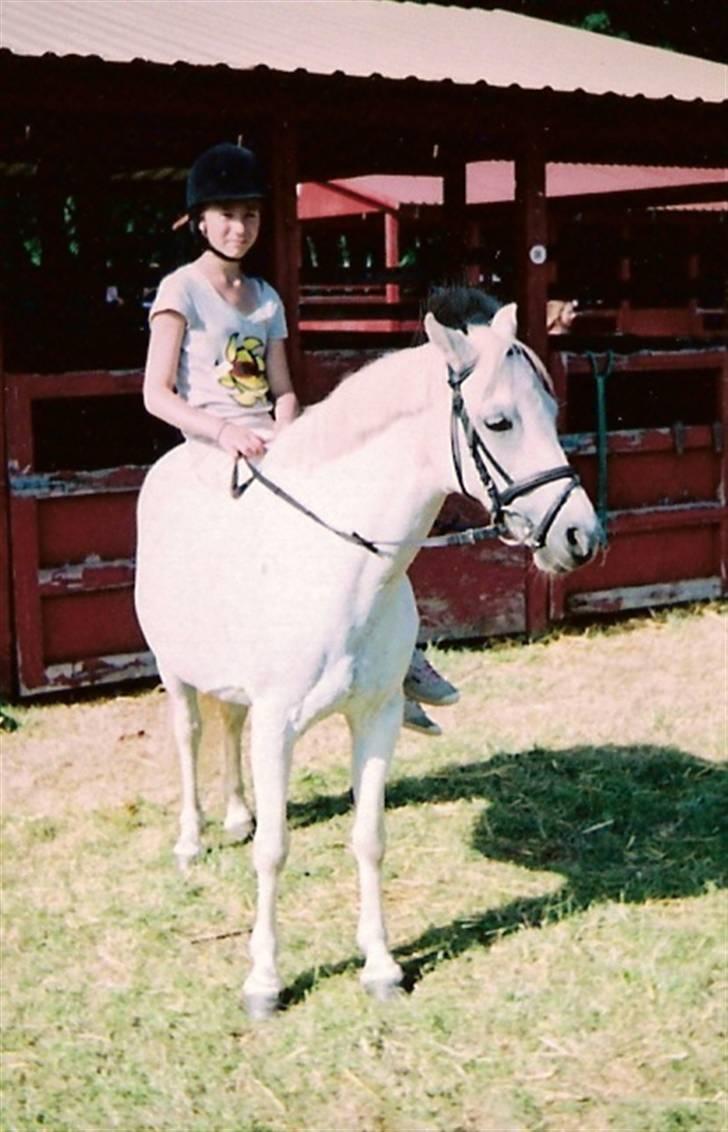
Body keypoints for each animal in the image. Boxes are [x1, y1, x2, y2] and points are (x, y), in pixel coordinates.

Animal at [133, 298, 602, 1018]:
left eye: (552, 412)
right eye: (499, 421)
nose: (582, 536)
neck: (337, 566)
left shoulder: (376, 718)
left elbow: (369, 838)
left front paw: (381, 966)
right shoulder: (278, 727)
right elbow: (274, 850)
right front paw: (264, 981)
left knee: (228, 727)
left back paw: (236, 813)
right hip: (173, 670)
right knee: (189, 737)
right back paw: (192, 840)